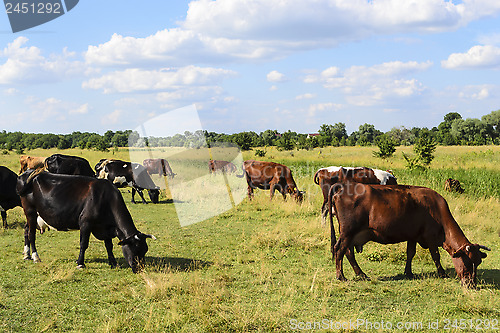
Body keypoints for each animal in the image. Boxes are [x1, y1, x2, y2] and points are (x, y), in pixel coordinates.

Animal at [17, 170, 154, 272]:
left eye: (145, 250)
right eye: (135, 250)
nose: (140, 269)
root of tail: (28, 173)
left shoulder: (106, 227)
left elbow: (109, 246)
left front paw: (113, 263)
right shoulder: (85, 223)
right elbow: (84, 244)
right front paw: (80, 263)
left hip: (33, 215)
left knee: (26, 230)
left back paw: (27, 255)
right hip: (30, 211)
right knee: (31, 234)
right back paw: (35, 257)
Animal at [328, 179, 488, 288]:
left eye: (478, 263)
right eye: (467, 262)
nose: (471, 284)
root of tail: (344, 186)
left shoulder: (413, 236)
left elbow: (410, 253)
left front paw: (408, 272)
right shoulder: (430, 238)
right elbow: (435, 256)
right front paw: (442, 273)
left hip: (350, 235)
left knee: (348, 252)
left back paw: (361, 274)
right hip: (347, 232)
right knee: (339, 250)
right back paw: (341, 276)